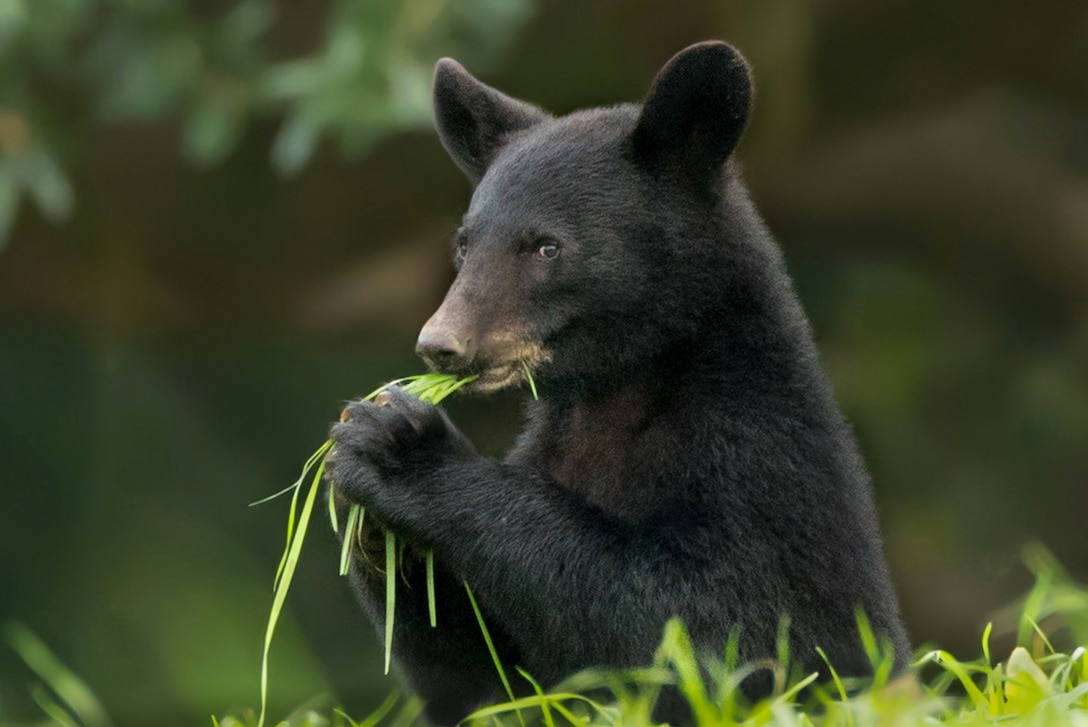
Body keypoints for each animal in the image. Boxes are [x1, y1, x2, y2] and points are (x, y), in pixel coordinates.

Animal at [326, 41, 913, 727]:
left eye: (546, 246)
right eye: (465, 244)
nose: (441, 344)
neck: (618, 394)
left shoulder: (759, 462)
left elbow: (710, 630)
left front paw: (401, 447)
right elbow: (486, 682)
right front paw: (368, 511)